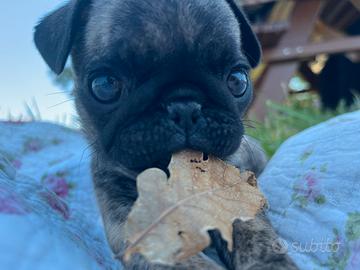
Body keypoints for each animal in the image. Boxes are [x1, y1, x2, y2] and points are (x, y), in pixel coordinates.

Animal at [35, 1, 296, 268]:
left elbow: (254, 232)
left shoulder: (236, 195)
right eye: (105, 85)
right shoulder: (129, 215)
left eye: (238, 80)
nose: (185, 106)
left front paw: (271, 262)